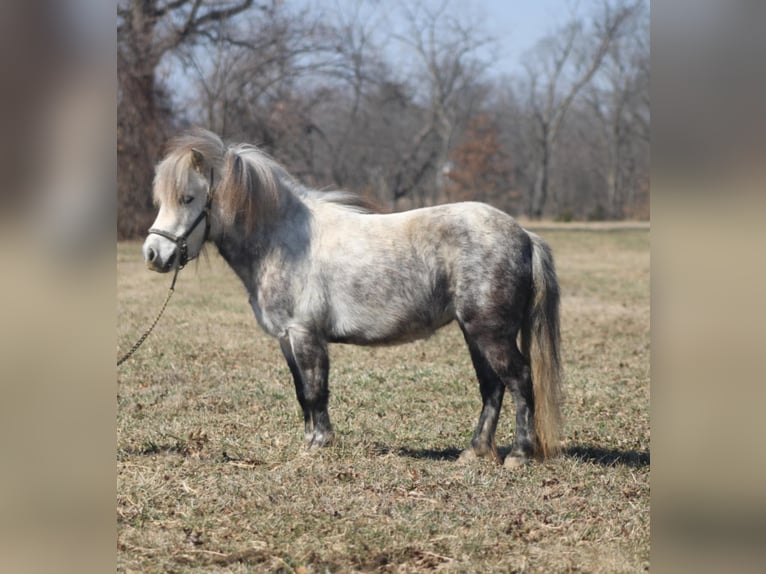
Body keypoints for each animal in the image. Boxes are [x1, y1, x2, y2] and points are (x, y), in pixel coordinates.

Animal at [144, 128, 564, 470]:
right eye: (161, 200)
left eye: (188, 198)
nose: (153, 254)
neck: (284, 240)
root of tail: (524, 235)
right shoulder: (286, 339)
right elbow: (302, 393)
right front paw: (310, 442)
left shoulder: (305, 334)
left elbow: (316, 391)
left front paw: (318, 445)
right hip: (474, 332)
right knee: (492, 387)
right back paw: (475, 451)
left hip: (490, 332)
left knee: (519, 380)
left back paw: (519, 455)